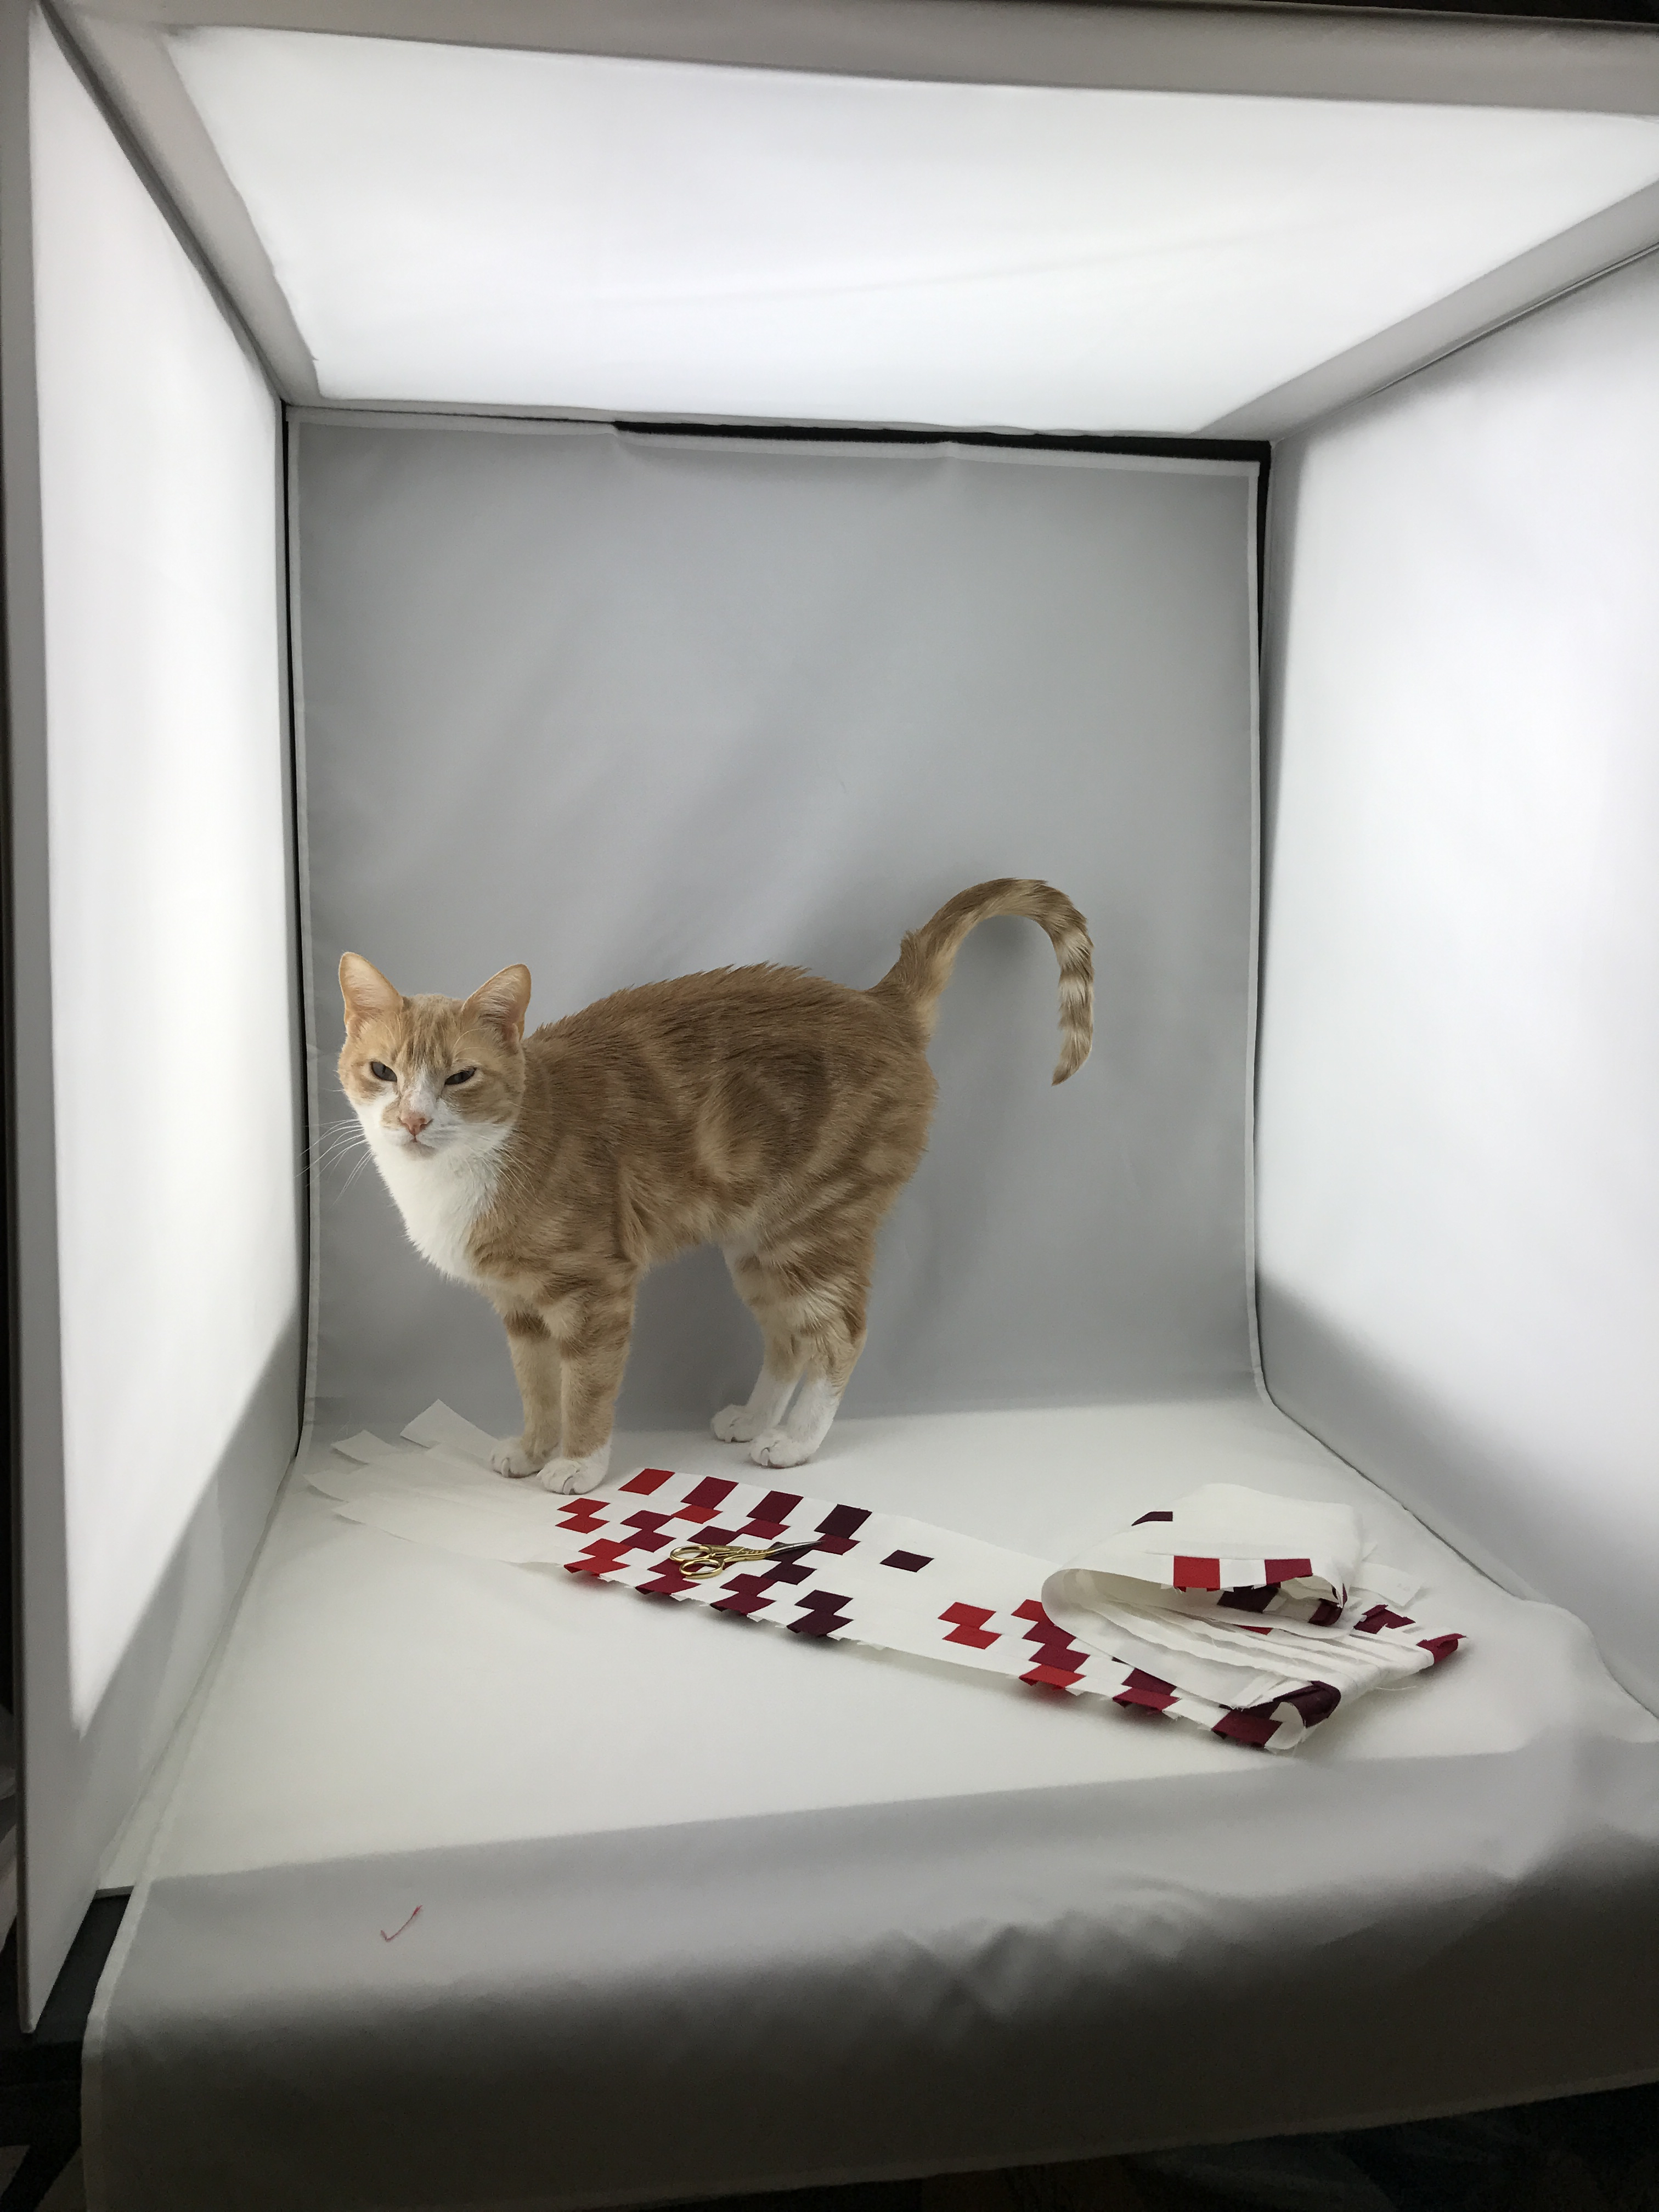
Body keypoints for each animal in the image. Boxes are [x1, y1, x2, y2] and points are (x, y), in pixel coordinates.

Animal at [337, 879, 1092, 1494]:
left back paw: (794, 1440)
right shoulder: (519, 1308)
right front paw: (531, 1447)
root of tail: (878, 1005)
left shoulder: (594, 1292)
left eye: (460, 1077)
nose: (413, 1119)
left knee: (838, 1336)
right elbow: (537, 1385)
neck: (466, 1169)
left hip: (813, 1228)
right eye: (382, 1071)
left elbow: (585, 1387)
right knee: (787, 1338)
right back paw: (756, 1417)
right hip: (757, 1246)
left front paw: (579, 1462)